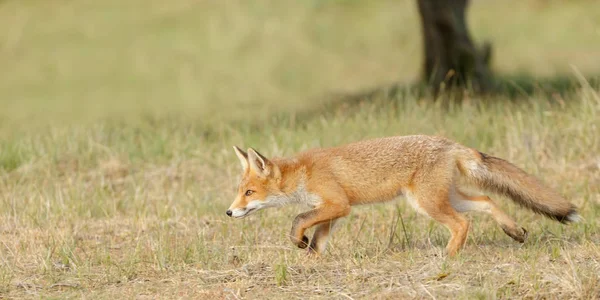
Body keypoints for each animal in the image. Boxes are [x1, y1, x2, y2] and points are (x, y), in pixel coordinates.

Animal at [224, 135, 576, 255]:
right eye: (240, 192)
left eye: (249, 192)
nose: (228, 212)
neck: (303, 173)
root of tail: (449, 143)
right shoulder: (334, 210)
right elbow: (318, 240)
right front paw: (310, 259)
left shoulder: (338, 204)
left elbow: (298, 220)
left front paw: (298, 242)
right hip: (444, 197)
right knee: (487, 202)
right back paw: (513, 231)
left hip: (427, 204)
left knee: (462, 223)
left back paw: (448, 255)